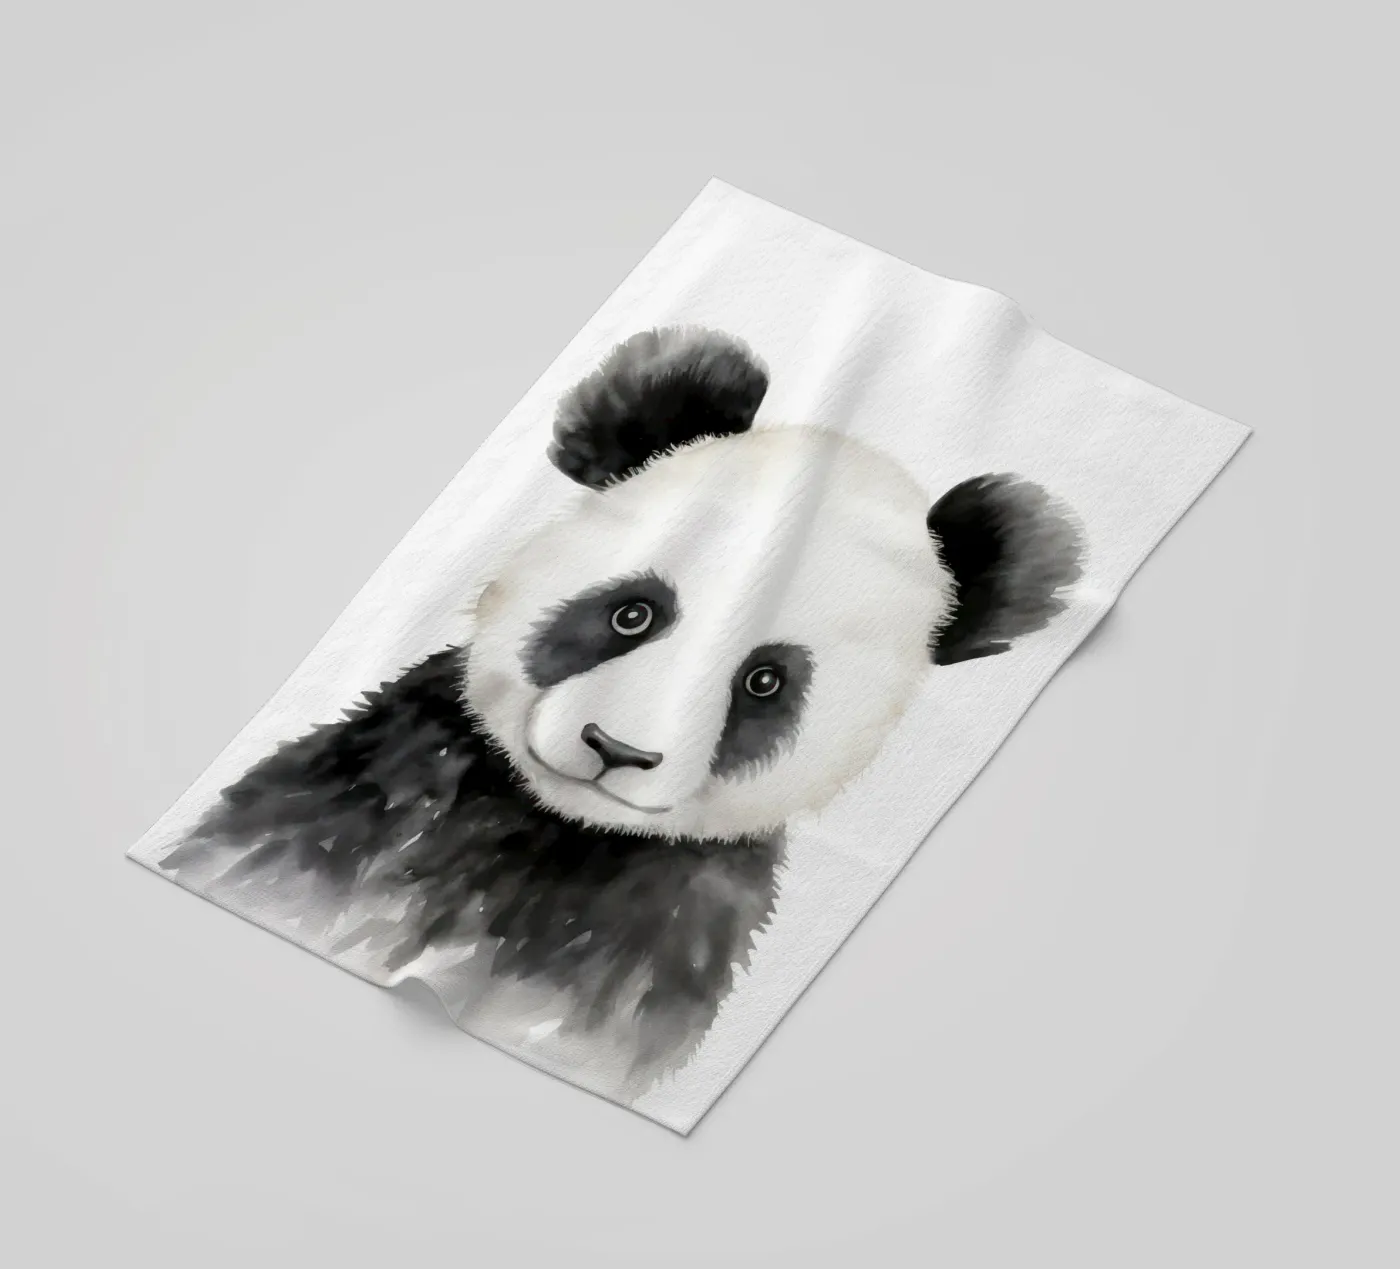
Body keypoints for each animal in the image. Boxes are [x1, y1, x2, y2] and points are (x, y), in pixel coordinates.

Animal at [161, 327, 1082, 1095]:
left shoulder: (661, 935)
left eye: (765, 682)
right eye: (633, 612)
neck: (548, 827)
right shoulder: (371, 789)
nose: (616, 749)